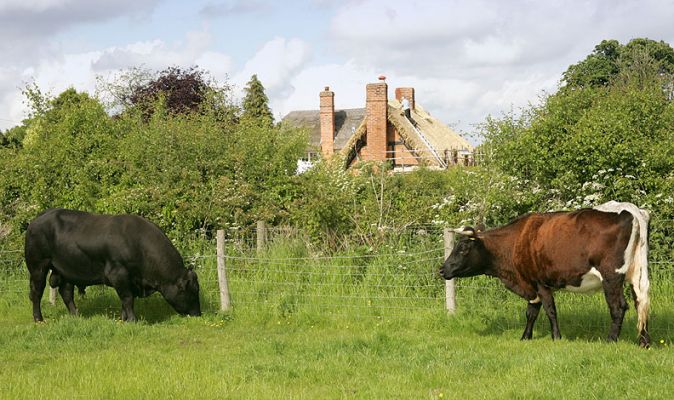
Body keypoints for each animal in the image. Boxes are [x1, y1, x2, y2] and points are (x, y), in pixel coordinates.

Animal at [25, 208, 201, 322]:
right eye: (192, 291)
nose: (198, 314)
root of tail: (39, 217)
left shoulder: (128, 280)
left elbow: (125, 300)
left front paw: (123, 319)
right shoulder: (118, 274)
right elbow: (127, 298)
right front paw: (132, 320)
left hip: (66, 269)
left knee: (66, 292)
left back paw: (77, 316)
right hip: (38, 266)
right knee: (36, 293)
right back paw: (39, 319)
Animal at [440, 201, 650, 347]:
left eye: (463, 248)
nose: (442, 269)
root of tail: (630, 208)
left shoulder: (539, 282)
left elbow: (550, 310)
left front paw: (556, 337)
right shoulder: (530, 285)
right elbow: (531, 312)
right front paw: (525, 337)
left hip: (611, 276)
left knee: (619, 307)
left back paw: (610, 340)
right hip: (636, 273)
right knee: (641, 302)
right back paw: (644, 342)